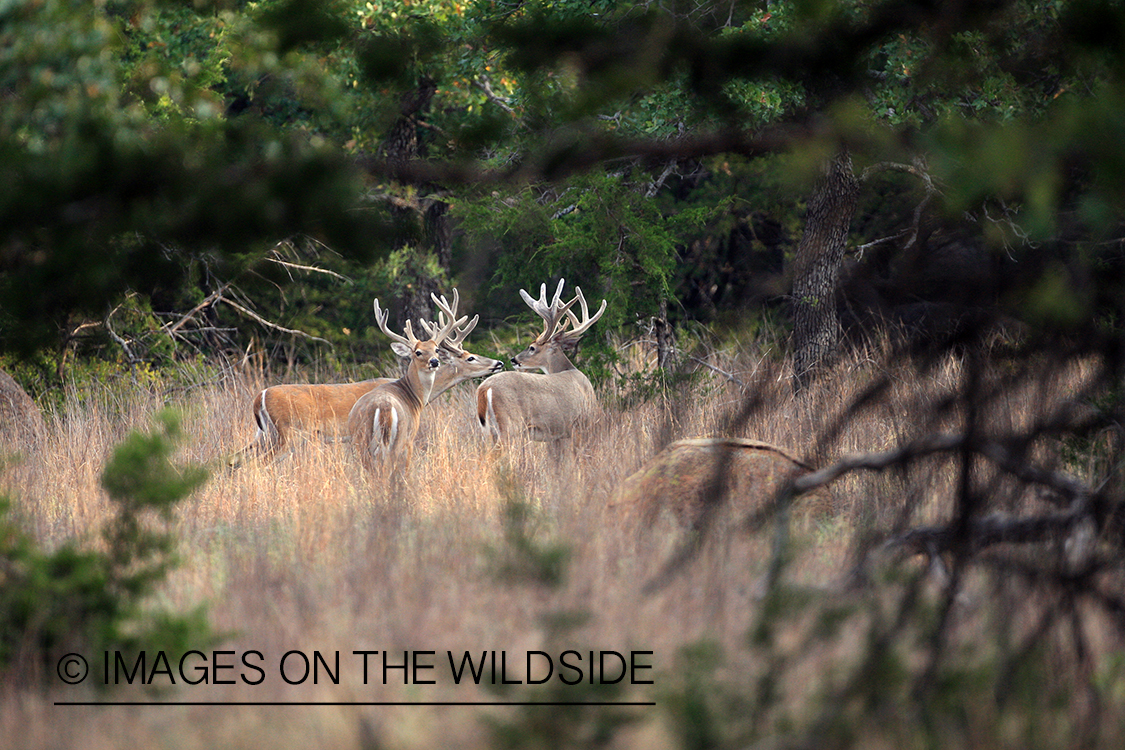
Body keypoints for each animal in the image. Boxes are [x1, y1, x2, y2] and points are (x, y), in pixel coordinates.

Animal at [228, 290, 501, 465]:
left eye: (436, 350)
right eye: (470, 358)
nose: (497, 363)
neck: (411, 392)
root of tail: (260, 396)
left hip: (262, 433)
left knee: (235, 459)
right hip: (288, 433)